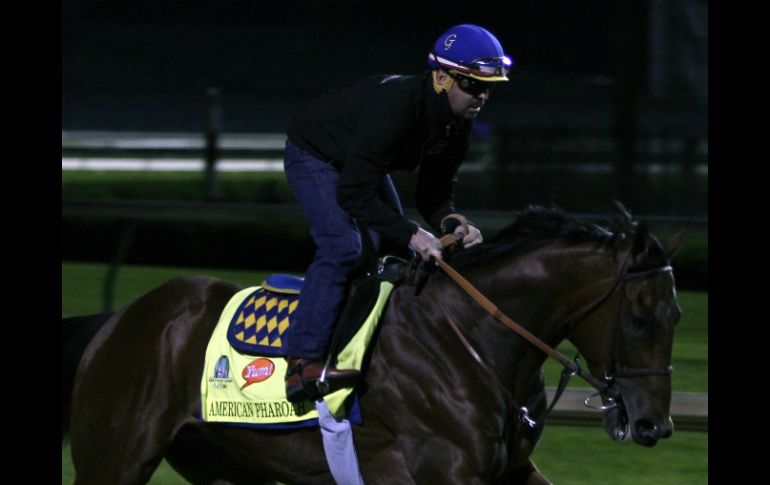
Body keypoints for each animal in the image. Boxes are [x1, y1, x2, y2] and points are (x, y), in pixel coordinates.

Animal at [63, 205, 680, 484]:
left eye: (675, 315)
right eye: (640, 319)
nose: (655, 425)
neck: (474, 342)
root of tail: (118, 321)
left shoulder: (510, 470)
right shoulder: (445, 470)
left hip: (223, 463)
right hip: (114, 458)